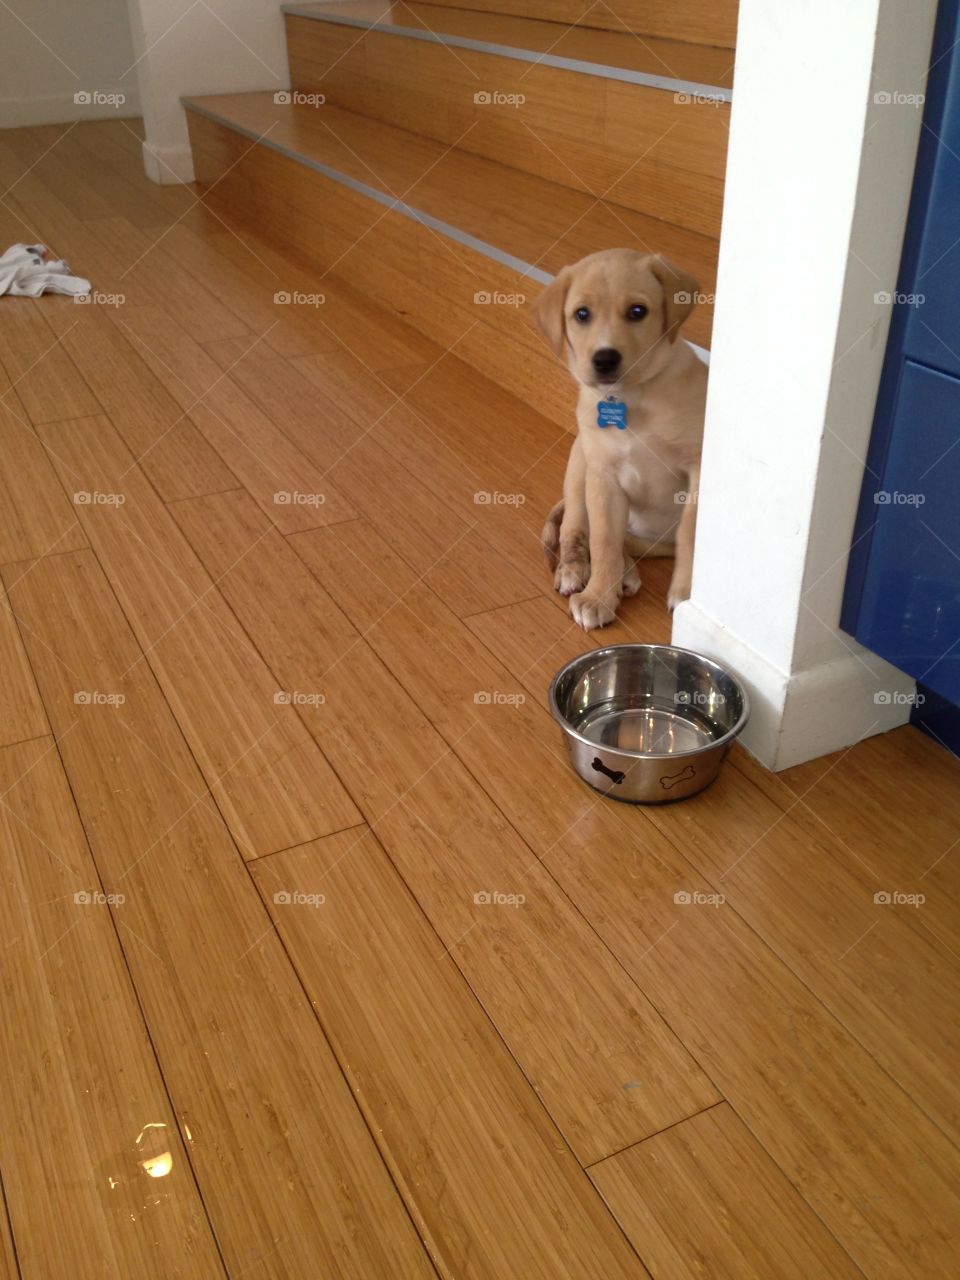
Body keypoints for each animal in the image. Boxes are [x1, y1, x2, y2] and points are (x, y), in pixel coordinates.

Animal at [535, 247, 706, 627]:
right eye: (582, 314)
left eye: (637, 312)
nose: (604, 359)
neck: (628, 397)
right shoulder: (603, 477)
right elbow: (603, 541)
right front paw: (598, 596)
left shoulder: (698, 467)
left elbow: (690, 533)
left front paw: (686, 595)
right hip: (579, 461)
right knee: (576, 528)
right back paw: (577, 570)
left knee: (631, 542)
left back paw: (625, 573)